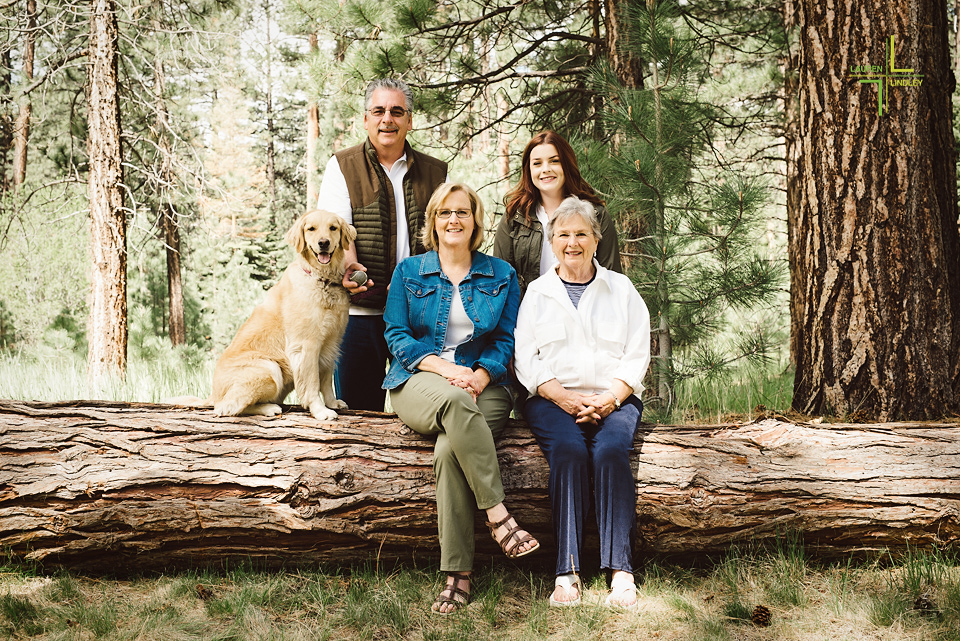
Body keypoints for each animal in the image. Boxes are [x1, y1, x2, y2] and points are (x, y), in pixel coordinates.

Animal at [171, 210, 354, 420]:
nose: (323, 243)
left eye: (333, 228)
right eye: (311, 229)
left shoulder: (331, 343)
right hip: (269, 368)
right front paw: (320, 411)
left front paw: (332, 403)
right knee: (226, 407)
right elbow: (312, 383)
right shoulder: (307, 345)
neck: (322, 279)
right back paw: (268, 408)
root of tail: (213, 394)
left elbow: (325, 381)